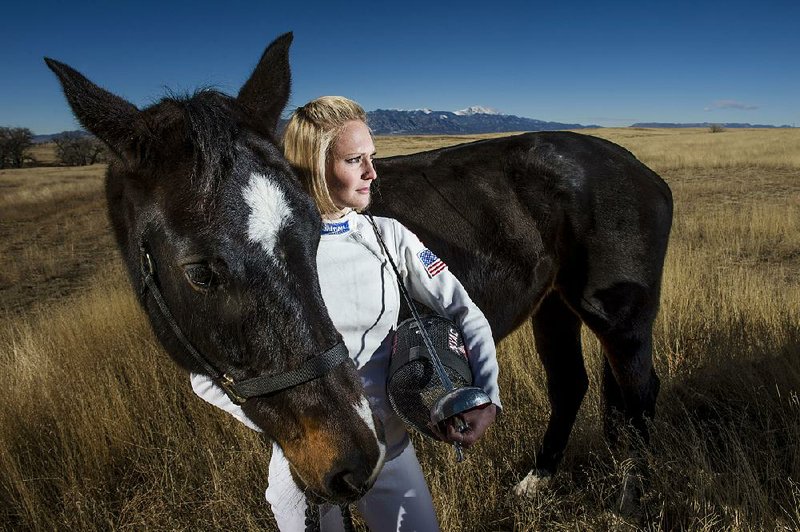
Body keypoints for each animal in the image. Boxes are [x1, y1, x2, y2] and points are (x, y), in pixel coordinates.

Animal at [47, 32, 672, 508]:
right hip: (555, 306)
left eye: (309, 237)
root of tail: (640, 169)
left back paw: (631, 496)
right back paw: (536, 482)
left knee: (639, 391)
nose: (352, 459)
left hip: (619, 318)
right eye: (199, 272)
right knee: (571, 385)